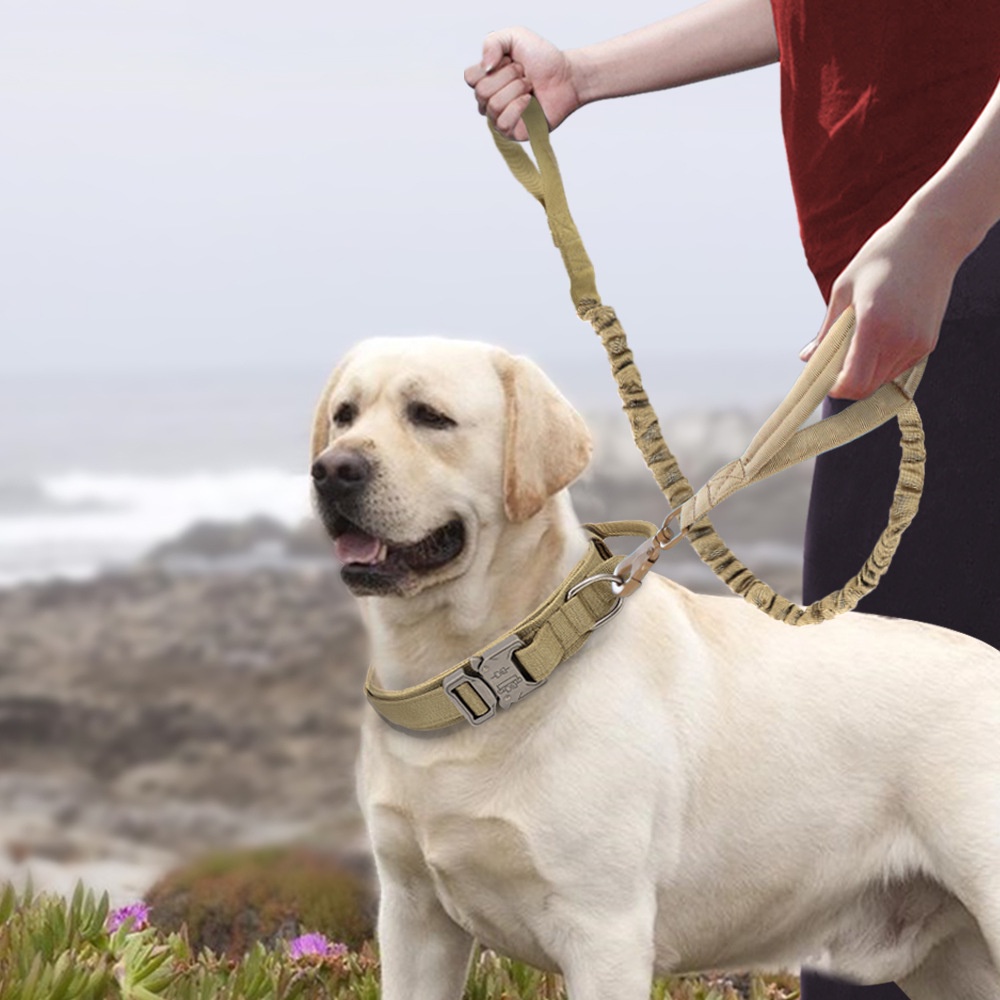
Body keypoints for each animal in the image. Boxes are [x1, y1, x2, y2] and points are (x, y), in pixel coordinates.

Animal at [312, 338, 1000, 1000]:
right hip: (951, 960)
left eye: (430, 416)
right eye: (344, 415)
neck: (491, 669)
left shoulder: (603, 931)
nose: (330, 471)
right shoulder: (413, 916)